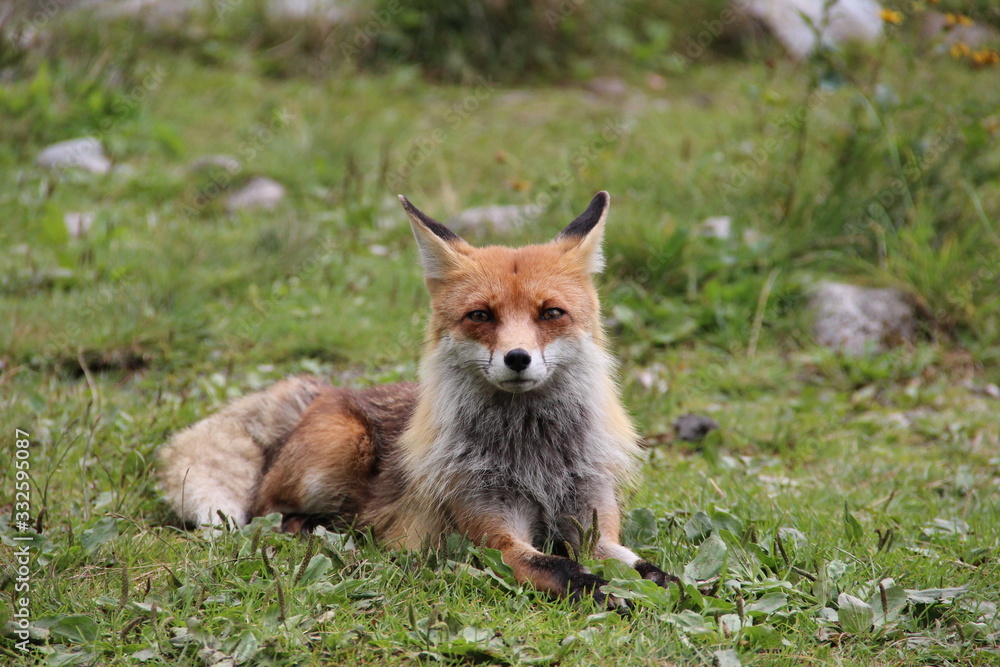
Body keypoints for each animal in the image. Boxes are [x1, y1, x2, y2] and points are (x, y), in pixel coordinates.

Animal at [158, 191, 678, 605]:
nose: (517, 358)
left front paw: (670, 587)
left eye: (551, 313)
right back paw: (326, 532)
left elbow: (641, 566)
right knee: (267, 511)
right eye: (481, 315)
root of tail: (330, 389)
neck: (535, 456)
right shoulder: (492, 531)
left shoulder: (592, 521)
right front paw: (606, 592)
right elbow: (561, 568)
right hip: (335, 456)